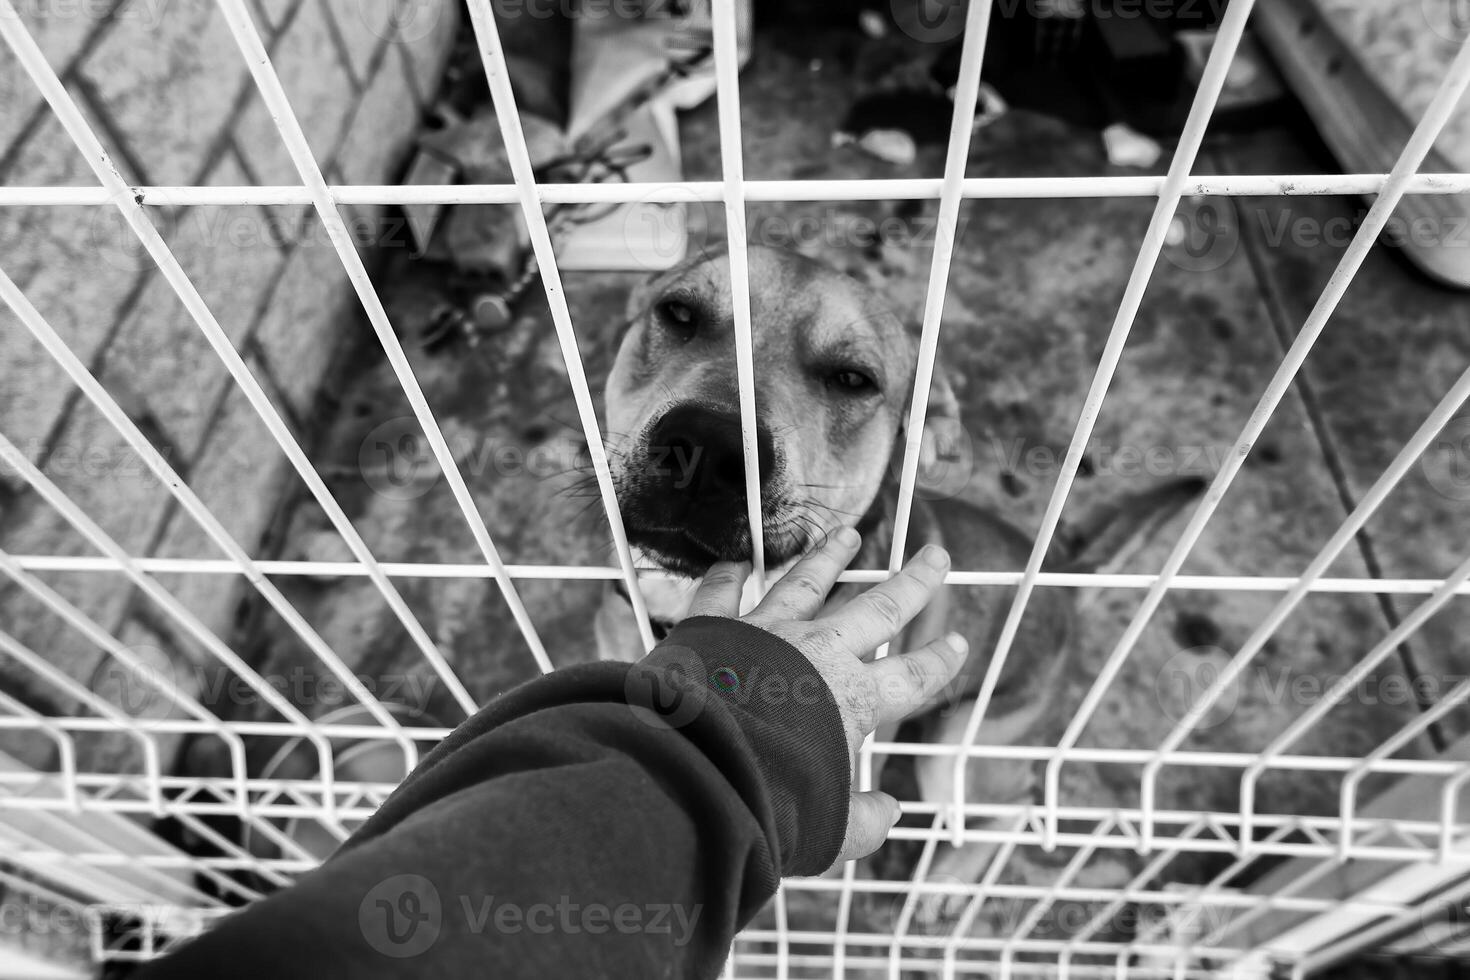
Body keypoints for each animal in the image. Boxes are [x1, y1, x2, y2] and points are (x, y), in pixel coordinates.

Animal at [596, 245, 1205, 928]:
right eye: (678, 314)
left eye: (852, 379)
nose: (707, 446)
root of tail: (1062, 578)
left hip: (961, 746)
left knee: (1011, 809)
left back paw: (945, 883)